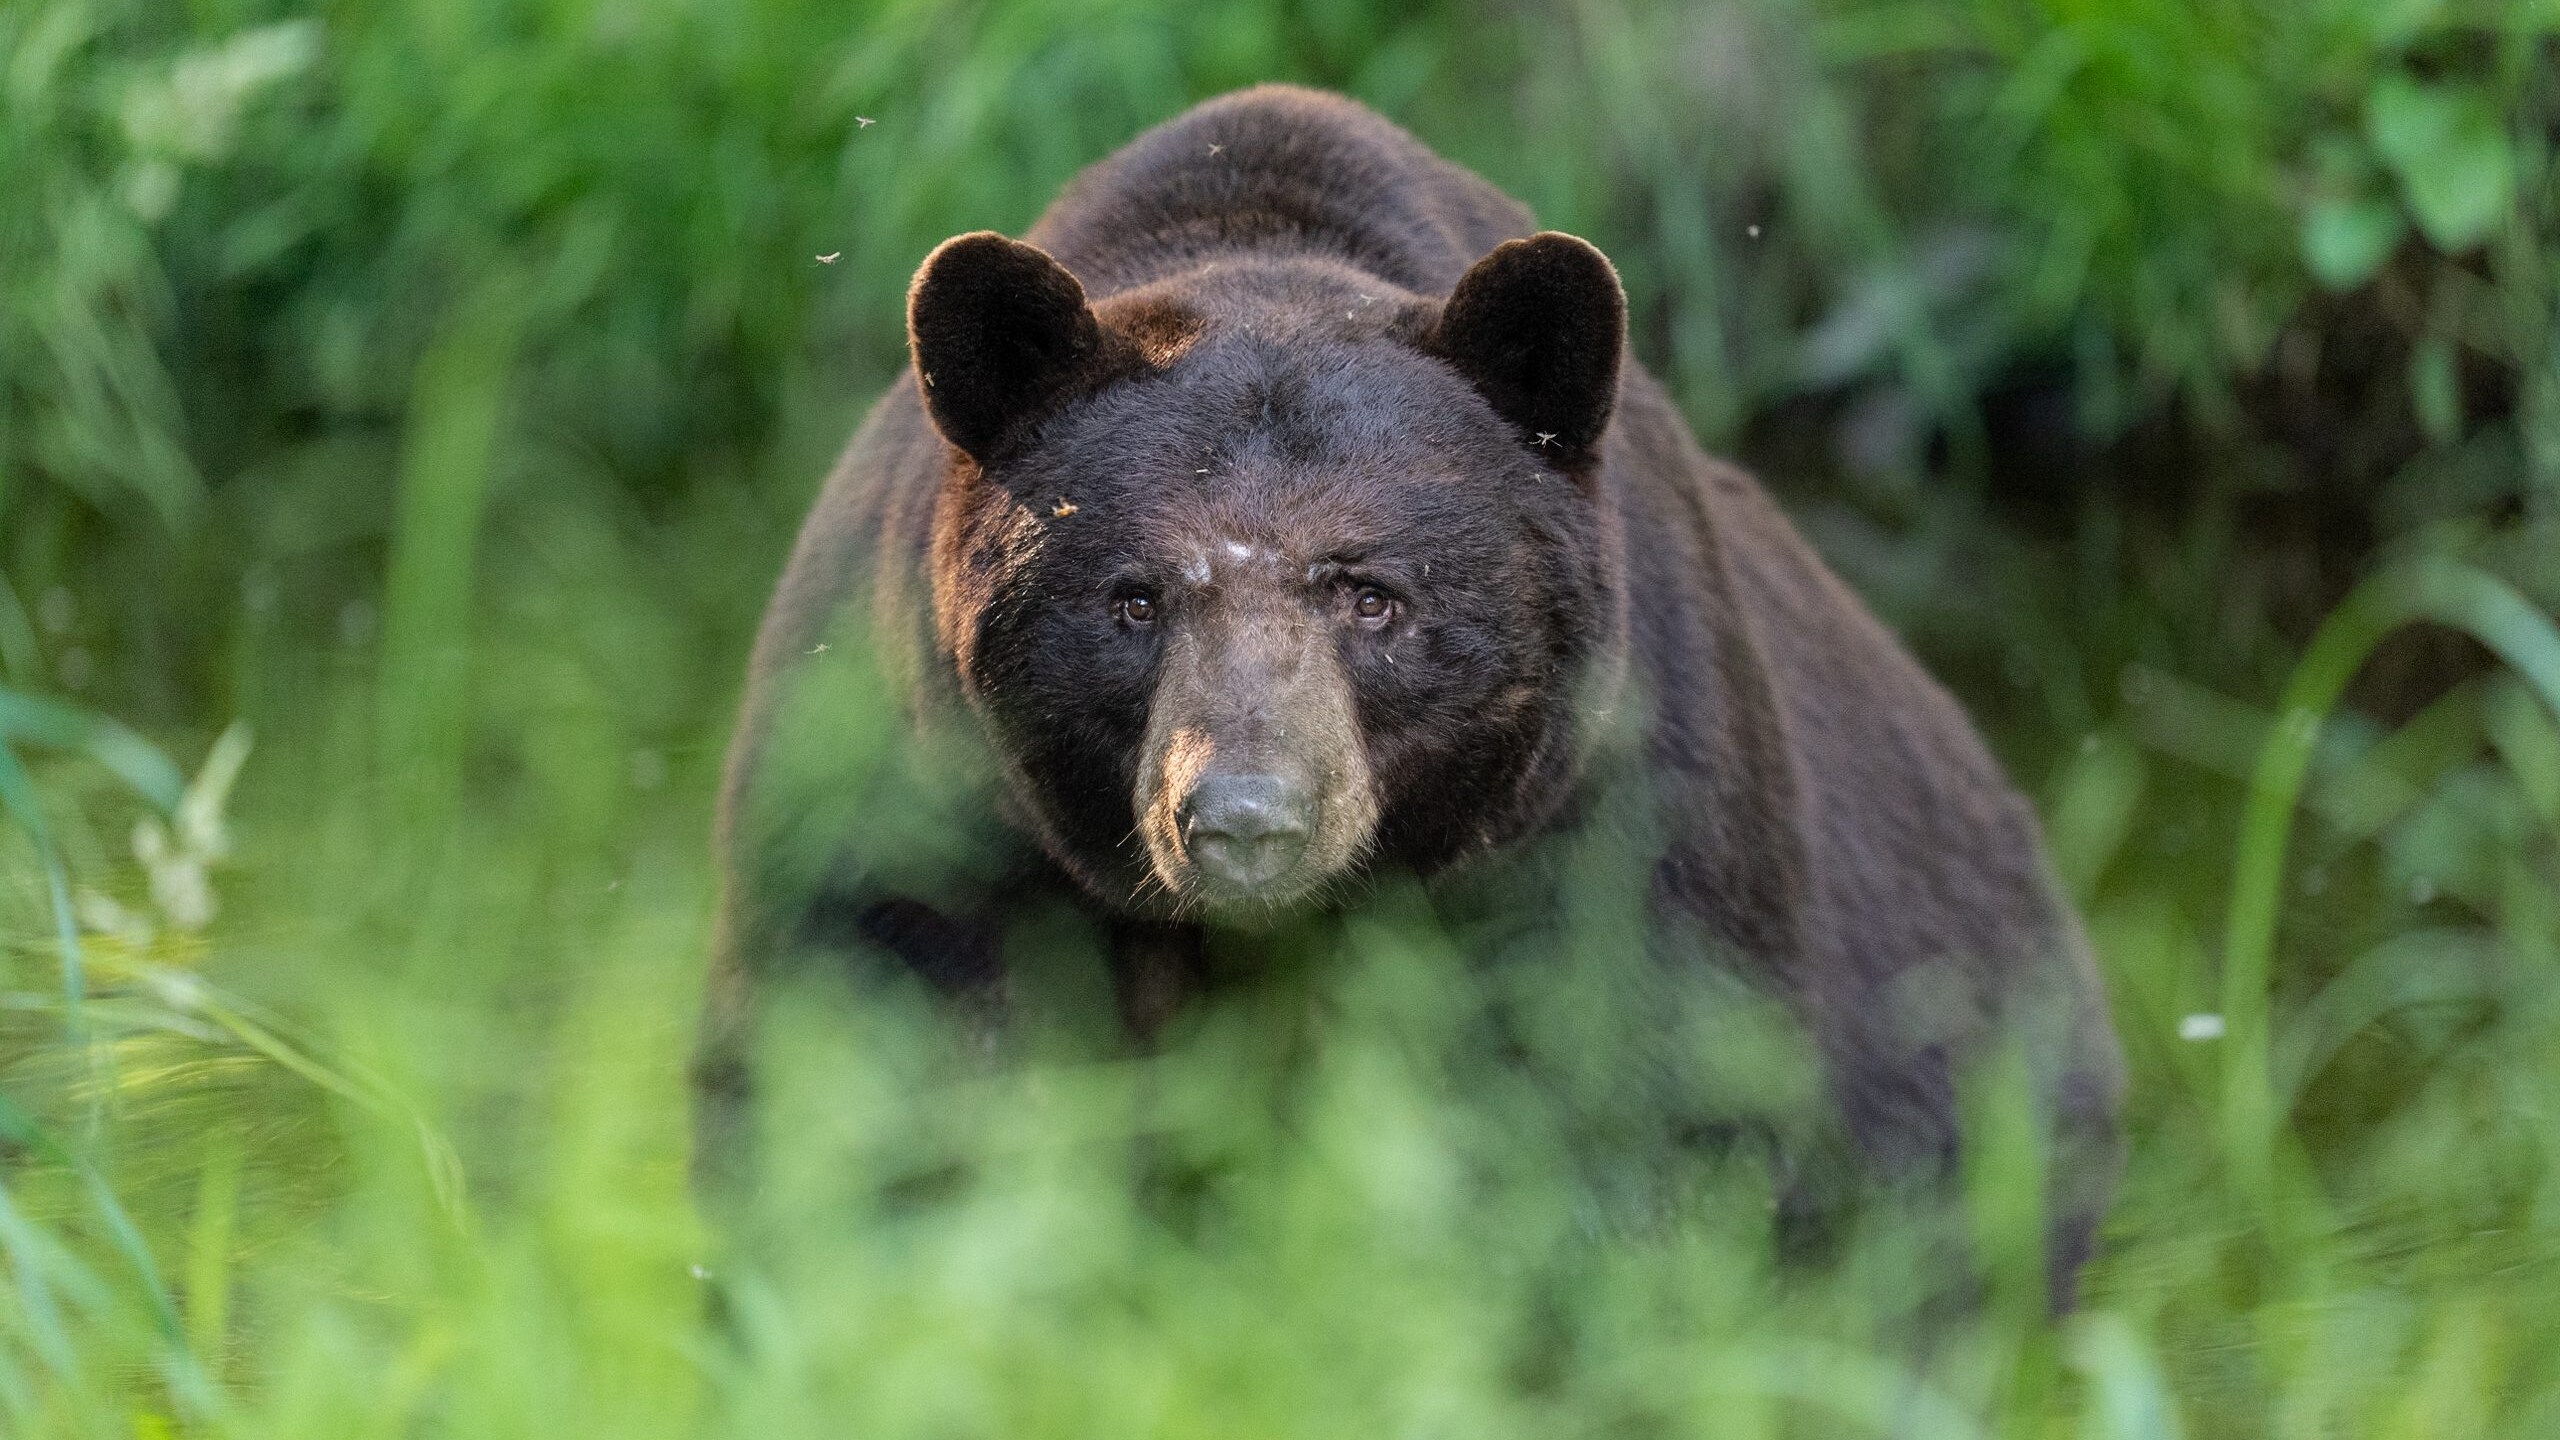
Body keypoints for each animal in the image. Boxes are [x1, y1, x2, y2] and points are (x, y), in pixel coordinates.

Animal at [696, 84, 2124, 1311]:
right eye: (1134, 598)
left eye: (1371, 595)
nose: (1245, 820)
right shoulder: (914, 807)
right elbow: (861, 1079)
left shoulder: (1610, 812)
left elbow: (1632, 1114)